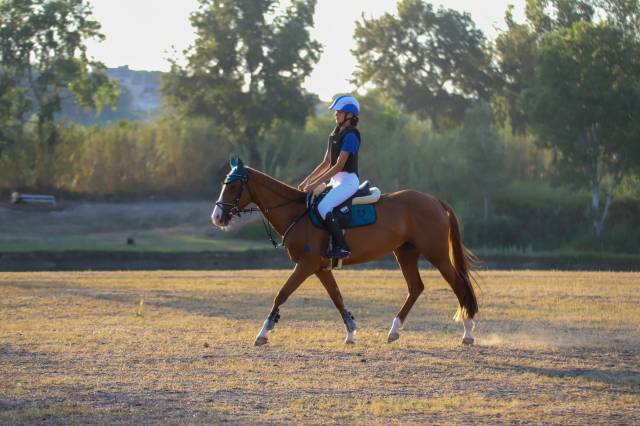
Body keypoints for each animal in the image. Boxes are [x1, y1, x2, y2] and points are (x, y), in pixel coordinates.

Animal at [211, 158, 479, 346]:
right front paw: (351, 332)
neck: (298, 213)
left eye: (232, 185)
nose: (217, 217)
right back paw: (393, 330)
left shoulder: (306, 265)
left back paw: (467, 331)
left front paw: (263, 333)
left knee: (458, 284)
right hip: (405, 253)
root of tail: (435, 201)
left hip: (436, 253)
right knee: (415, 287)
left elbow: (282, 294)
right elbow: (337, 297)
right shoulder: (319, 268)